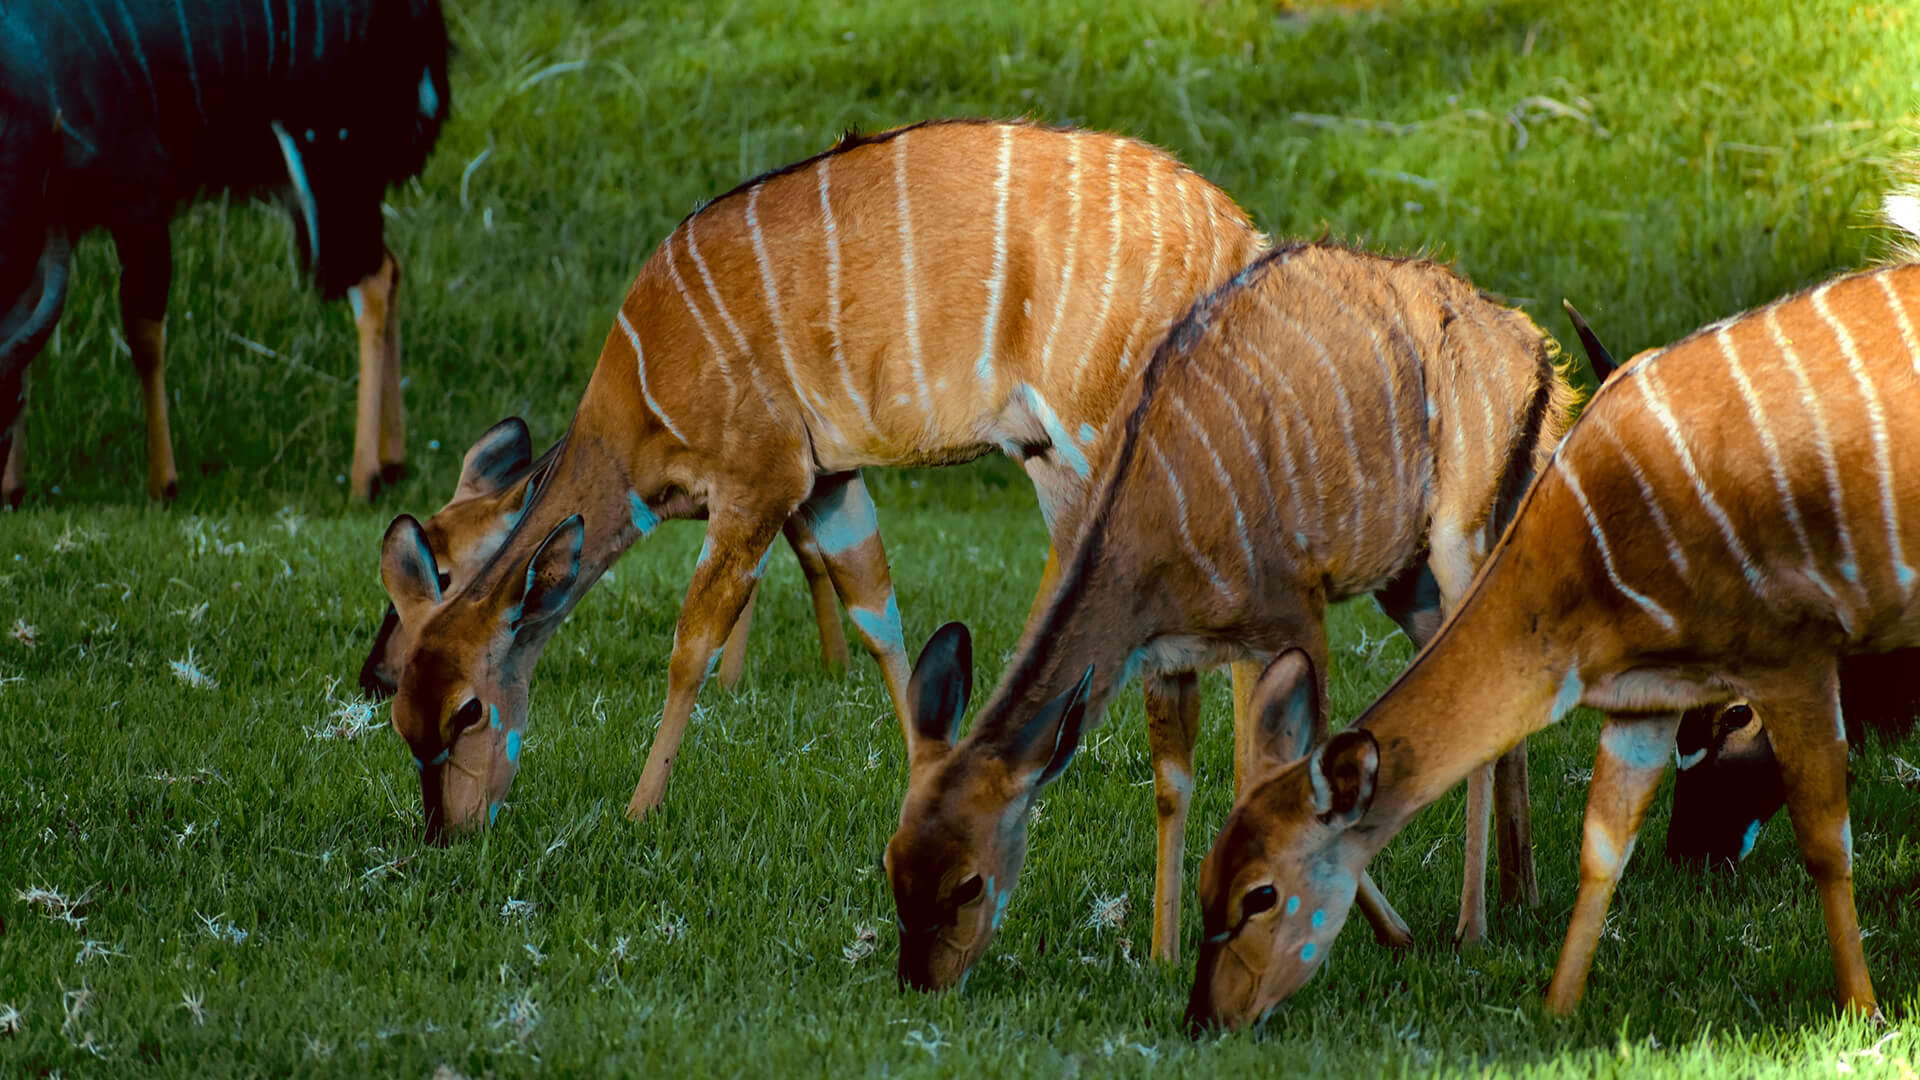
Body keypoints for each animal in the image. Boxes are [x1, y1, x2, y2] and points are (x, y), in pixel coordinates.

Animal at [0, 0, 451, 503]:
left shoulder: (140, 193)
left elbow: (143, 330)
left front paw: (164, 484)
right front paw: (12, 488)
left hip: (329, 163)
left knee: (370, 281)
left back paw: (363, 480)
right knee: (390, 266)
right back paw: (393, 462)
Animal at [883, 242, 1574, 983]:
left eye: (968, 883)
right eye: (892, 863)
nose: (919, 982)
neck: (1153, 526)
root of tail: (1534, 352)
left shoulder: (1295, 612)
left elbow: (1292, 772)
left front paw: (1393, 934)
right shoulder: (1166, 657)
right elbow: (1172, 784)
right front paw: (1162, 955)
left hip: (1458, 532)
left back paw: (1472, 927)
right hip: (1406, 578)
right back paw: (1520, 894)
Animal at [1182, 197, 1920, 1022]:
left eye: (1260, 895)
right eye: (1206, 881)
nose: (1203, 1018)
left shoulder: (1788, 661)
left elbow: (1826, 841)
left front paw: (1863, 1009)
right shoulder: (1647, 700)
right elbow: (1604, 844)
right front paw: (1557, 1013)